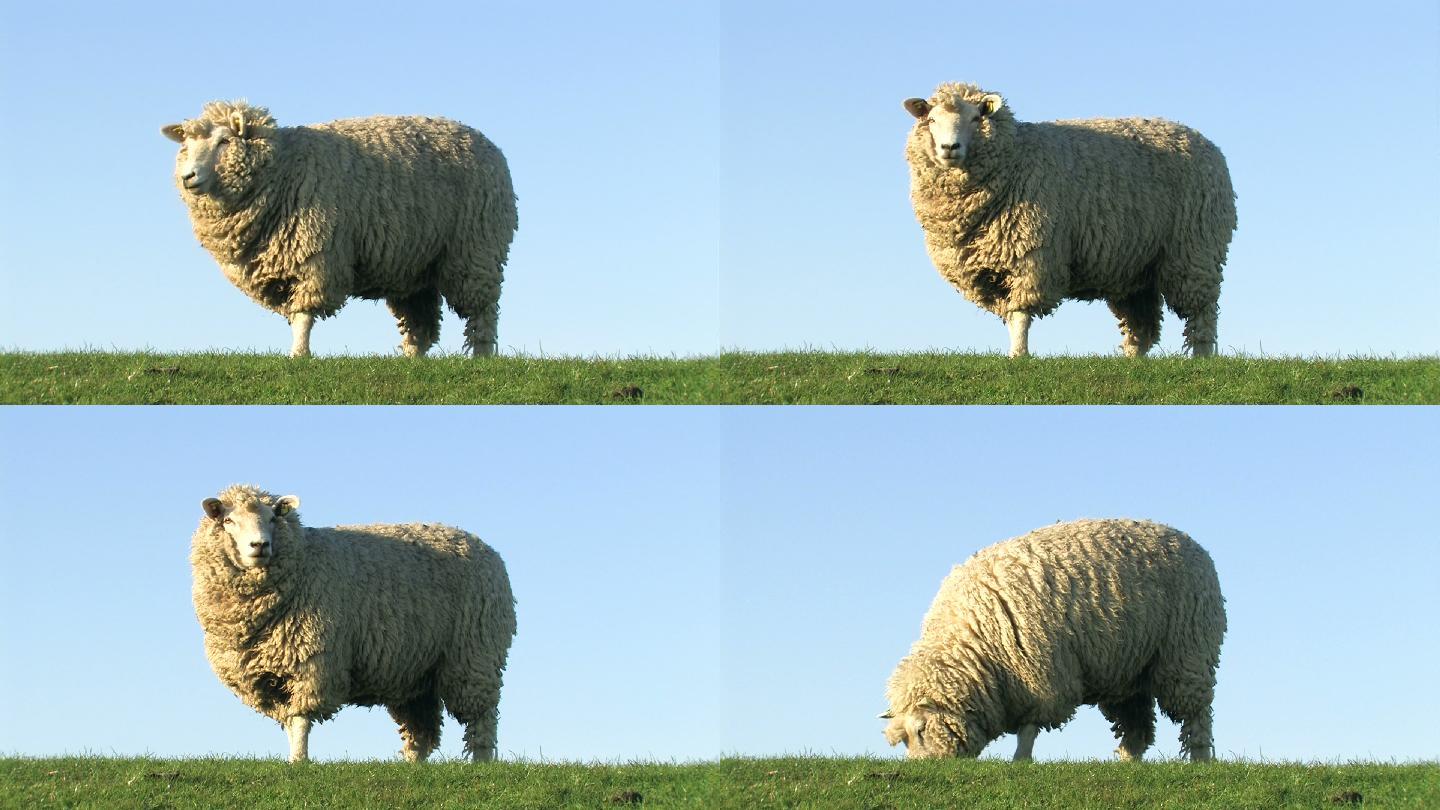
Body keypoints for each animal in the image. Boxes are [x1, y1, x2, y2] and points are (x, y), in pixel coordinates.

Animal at [164, 98, 518, 355]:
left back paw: (482, 356)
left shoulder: (316, 255)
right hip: (414, 266)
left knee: (483, 311)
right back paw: (411, 361)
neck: (282, 168)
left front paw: (299, 355)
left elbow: (303, 315)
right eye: (187, 145)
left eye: (224, 141)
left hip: (475, 249)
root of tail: (491, 146)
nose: (188, 176)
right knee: (421, 325)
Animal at [190, 481, 518, 760]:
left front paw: (299, 761)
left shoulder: (314, 662)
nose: (259, 546)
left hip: (474, 655)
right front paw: (294, 758)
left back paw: (482, 762)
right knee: (421, 731)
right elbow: (289, 721)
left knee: (482, 717)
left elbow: (300, 720)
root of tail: (486, 549)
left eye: (273, 518)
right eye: (229, 521)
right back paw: (414, 767)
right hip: (416, 671)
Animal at [875, 515, 1226, 755]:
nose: (928, 766)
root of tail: (1194, 544)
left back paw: (1201, 760)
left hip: (1186, 654)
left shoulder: (1041, 679)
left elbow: (1028, 729)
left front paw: (1020, 761)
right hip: (1128, 672)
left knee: (1197, 716)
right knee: (1136, 731)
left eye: (921, 729)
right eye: (904, 738)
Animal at [898, 82, 1238, 355]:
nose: (949, 147)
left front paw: (1018, 356)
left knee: (1202, 311)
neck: (1015, 157)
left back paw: (1201, 358)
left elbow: (1020, 315)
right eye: (931, 120)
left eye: (975, 118)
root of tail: (1207, 144)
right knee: (1142, 328)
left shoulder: (1033, 255)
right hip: (1136, 267)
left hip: (1194, 250)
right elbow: (1010, 315)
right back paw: (1132, 363)